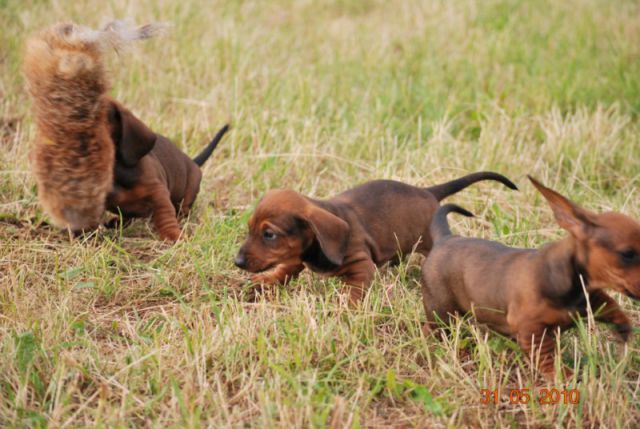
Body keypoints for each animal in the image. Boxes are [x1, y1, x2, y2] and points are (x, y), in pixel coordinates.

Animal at [422, 176, 636, 376]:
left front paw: (623, 328)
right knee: (436, 331)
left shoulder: (590, 298)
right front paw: (565, 378)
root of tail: (445, 238)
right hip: (440, 313)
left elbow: (610, 305)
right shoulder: (530, 329)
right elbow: (547, 358)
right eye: (627, 254)